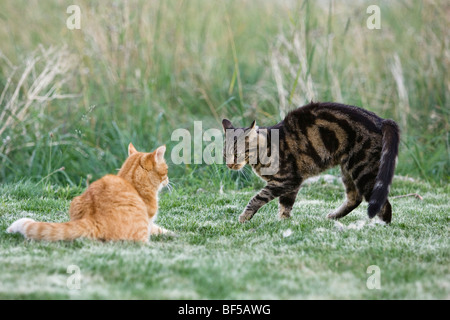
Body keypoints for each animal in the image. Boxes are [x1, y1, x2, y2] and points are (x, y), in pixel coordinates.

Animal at [7, 143, 172, 242]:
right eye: (166, 170)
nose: (168, 179)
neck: (131, 180)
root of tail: (94, 219)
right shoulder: (149, 222)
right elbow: (158, 229)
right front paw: (169, 233)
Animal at [223, 101, 400, 224]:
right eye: (225, 154)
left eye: (237, 153)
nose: (229, 165)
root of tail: (382, 120)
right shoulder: (292, 183)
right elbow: (285, 205)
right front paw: (284, 222)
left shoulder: (286, 180)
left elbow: (257, 198)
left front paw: (244, 217)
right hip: (347, 170)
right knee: (355, 197)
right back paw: (333, 216)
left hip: (363, 170)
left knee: (383, 204)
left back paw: (381, 226)